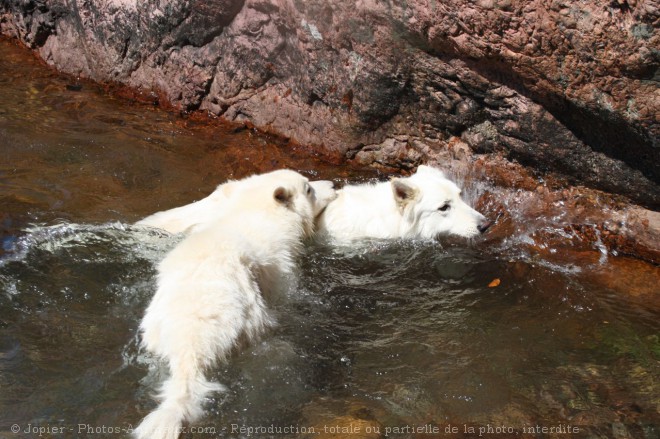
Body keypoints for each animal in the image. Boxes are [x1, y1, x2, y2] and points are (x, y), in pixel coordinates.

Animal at [133, 171, 336, 439]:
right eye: (308, 189)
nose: (333, 184)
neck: (250, 211)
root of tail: (189, 343)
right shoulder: (278, 268)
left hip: (154, 328)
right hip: (247, 322)